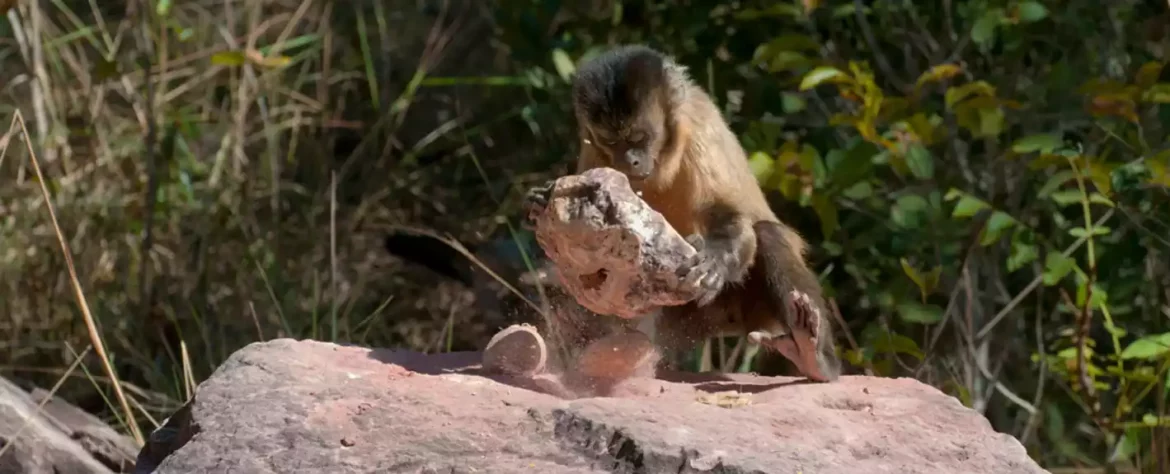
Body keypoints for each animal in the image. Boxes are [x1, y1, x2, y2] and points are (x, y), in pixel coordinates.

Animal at [528, 45, 842, 381]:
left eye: (638, 138)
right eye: (612, 141)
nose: (630, 161)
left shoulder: (698, 127)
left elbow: (727, 213)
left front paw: (715, 258)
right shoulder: (592, 146)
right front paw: (542, 198)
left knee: (767, 235)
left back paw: (811, 354)